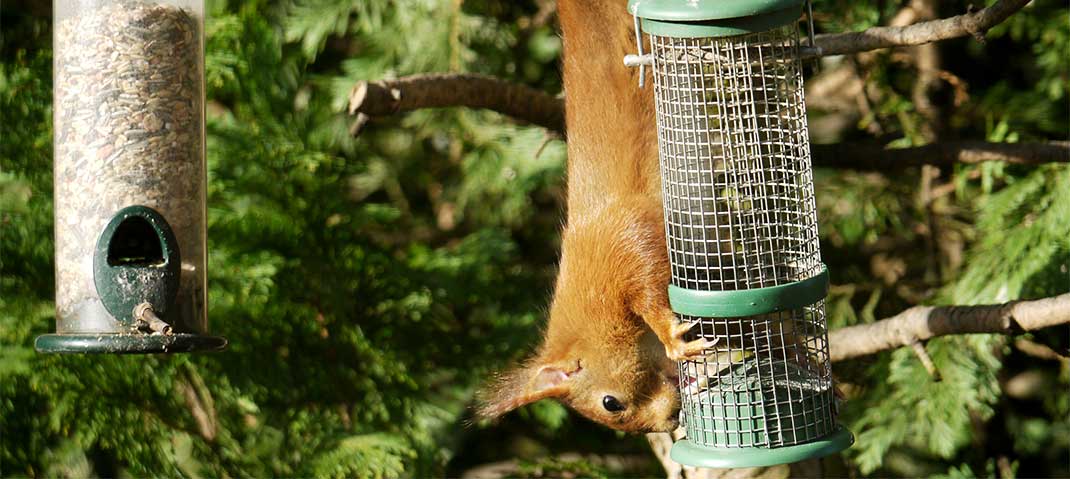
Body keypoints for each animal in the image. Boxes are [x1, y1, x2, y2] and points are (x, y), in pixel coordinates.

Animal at [476, 0, 713, 433]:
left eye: (610, 402)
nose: (670, 422)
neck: (591, 307)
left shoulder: (624, 246)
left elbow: (651, 289)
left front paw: (673, 339)